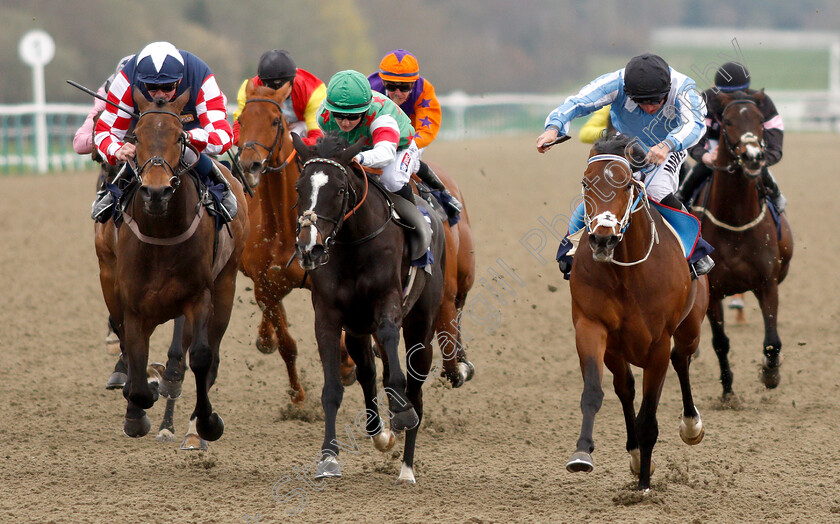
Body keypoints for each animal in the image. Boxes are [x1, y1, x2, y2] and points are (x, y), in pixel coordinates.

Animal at [95, 90, 248, 446]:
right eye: (136, 137)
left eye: (180, 137)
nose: (156, 190)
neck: (161, 234)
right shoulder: (132, 304)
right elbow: (135, 361)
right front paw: (138, 408)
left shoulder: (198, 295)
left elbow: (201, 356)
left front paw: (207, 422)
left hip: (226, 284)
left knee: (210, 355)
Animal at [235, 81, 356, 406]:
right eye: (241, 120)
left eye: (275, 121)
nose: (250, 163)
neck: (284, 228)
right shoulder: (266, 285)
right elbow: (287, 344)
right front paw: (297, 395)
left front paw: (347, 366)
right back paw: (265, 338)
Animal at [290, 133, 446, 486]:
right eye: (299, 188)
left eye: (339, 190)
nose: (310, 247)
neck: (353, 245)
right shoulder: (329, 318)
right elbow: (333, 389)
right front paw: (328, 458)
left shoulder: (387, 302)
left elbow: (393, 359)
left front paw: (401, 413)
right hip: (358, 330)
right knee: (369, 373)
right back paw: (381, 434)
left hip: (421, 327)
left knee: (414, 387)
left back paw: (406, 467)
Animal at [564, 135, 708, 492]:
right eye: (586, 183)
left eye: (627, 183)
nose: (602, 239)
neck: (626, 273)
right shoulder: (593, 328)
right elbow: (595, 392)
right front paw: (582, 453)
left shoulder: (658, 344)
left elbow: (649, 418)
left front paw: (643, 487)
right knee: (626, 388)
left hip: (690, 326)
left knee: (681, 359)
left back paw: (691, 425)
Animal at [688, 92, 796, 400]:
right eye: (728, 121)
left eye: (760, 120)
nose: (752, 156)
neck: (735, 220)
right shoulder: (713, 291)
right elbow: (720, 342)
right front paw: (728, 390)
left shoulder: (767, 284)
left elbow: (772, 340)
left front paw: (770, 374)